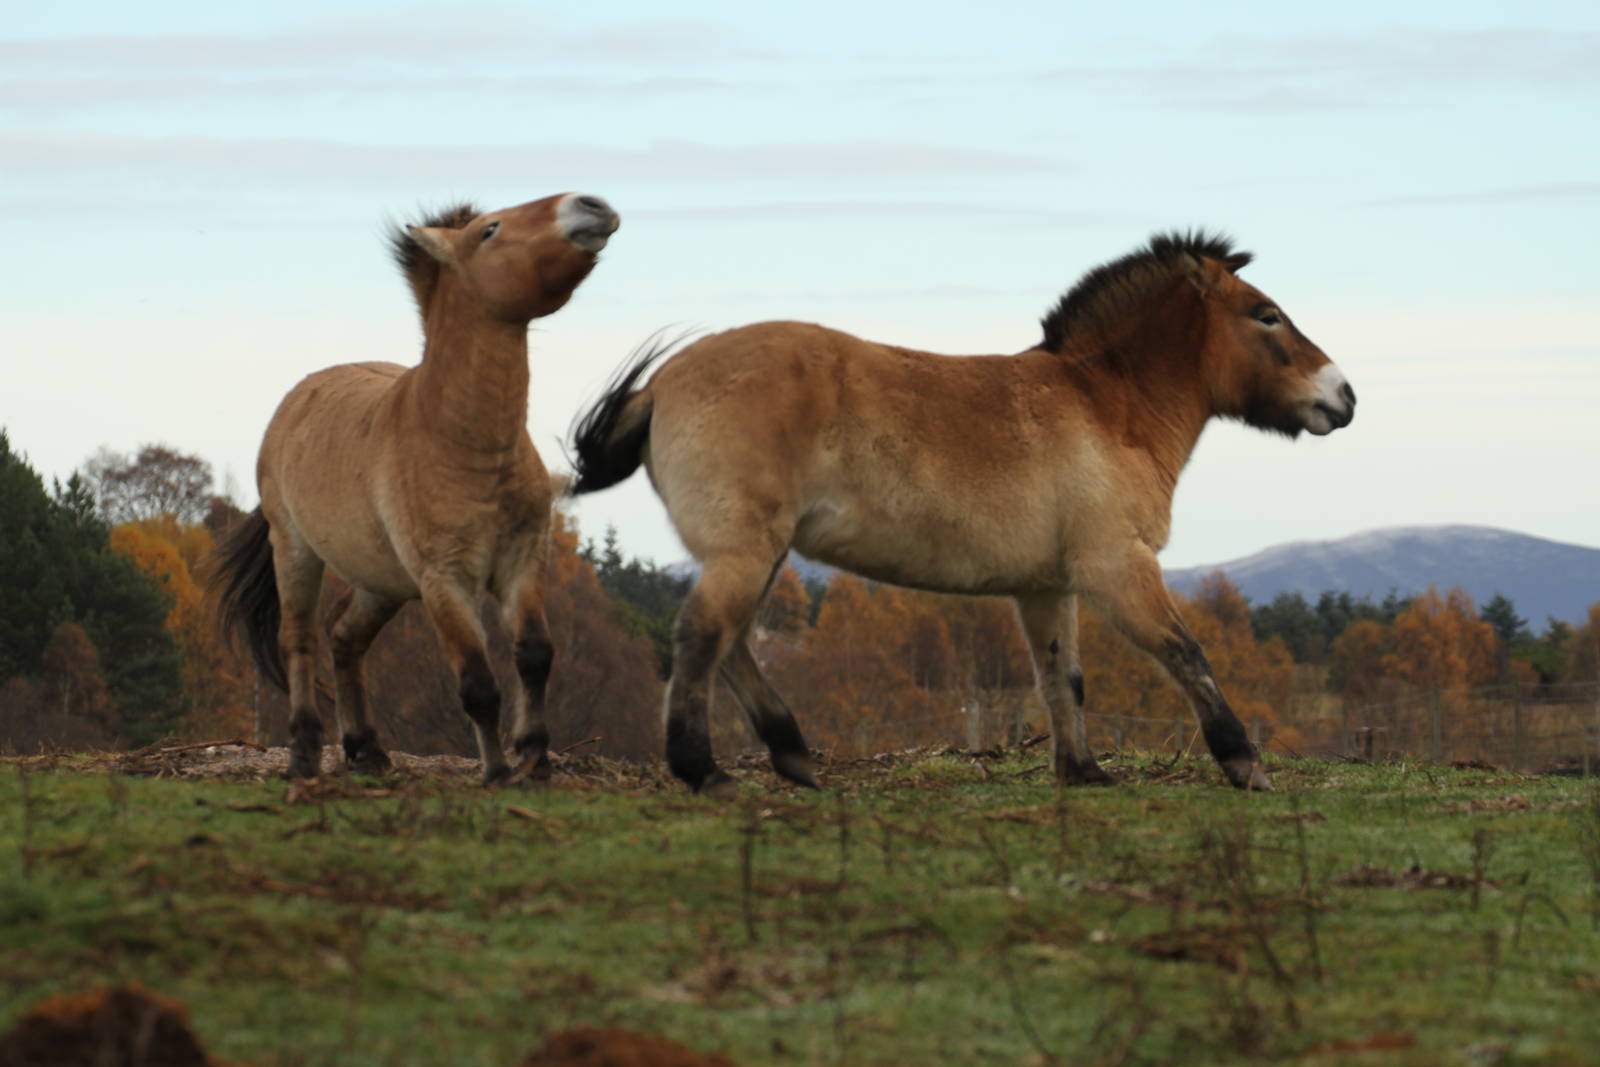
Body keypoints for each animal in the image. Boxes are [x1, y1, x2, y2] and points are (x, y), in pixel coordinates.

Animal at [212, 192, 620, 783]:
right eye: (490, 230)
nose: (591, 204)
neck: (462, 445)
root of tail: (296, 401)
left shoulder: (522, 563)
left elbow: (534, 656)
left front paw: (535, 757)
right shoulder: (444, 582)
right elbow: (477, 682)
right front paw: (497, 771)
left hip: (381, 583)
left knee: (344, 635)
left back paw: (366, 749)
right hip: (296, 553)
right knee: (300, 641)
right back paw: (305, 754)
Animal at [567, 231, 1355, 793]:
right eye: (1267, 315)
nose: (1342, 396)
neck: (1105, 407)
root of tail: (663, 383)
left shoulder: (1048, 587)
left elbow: (1061, 677)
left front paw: (1083, 772)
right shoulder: (1117, 567)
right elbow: (1185, 653)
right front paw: (1244, 763)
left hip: (758, 554)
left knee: (729, 644)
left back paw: (792, 756)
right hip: (746, 550)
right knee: (703, 636)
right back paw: (704, 770)